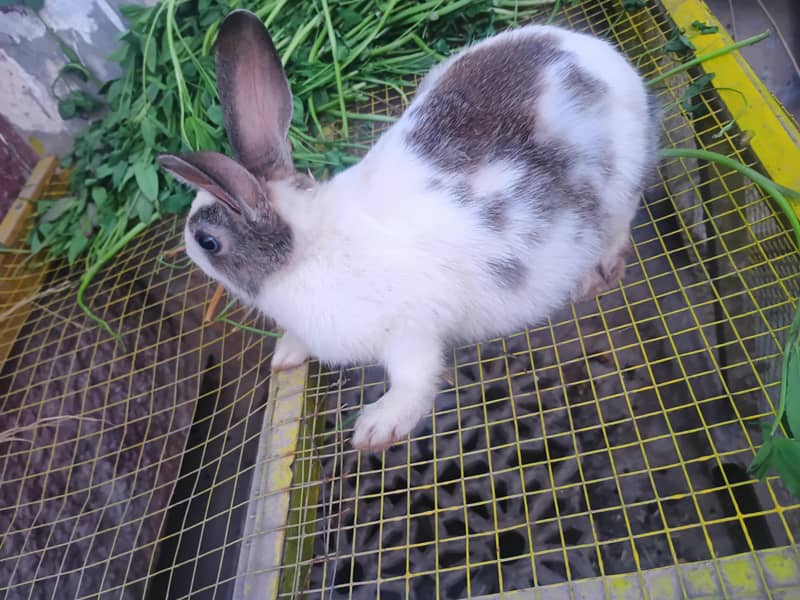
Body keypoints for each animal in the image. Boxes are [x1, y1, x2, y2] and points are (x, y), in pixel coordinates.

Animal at [158, 9, 660, 452]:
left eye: (208, 241)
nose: (186, 243)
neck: (308, 249)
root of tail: (607, 59)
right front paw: (285, 355)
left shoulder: (411, 332)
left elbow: (414, 379)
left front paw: (378, 429)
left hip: (621, 187)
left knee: (621, 223)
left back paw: (598, 275)